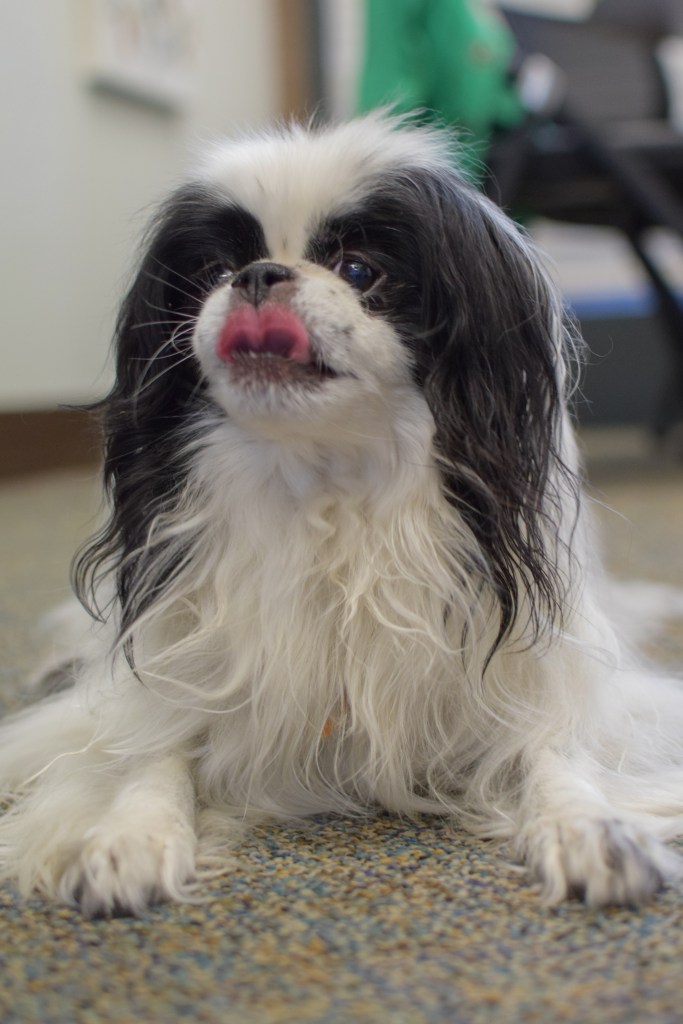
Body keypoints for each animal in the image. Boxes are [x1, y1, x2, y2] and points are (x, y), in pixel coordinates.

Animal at [1, 115, 682, 916]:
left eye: (360, 271)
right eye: (213, 271)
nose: (257, 275)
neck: (327, 485)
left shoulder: (545, 682)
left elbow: (557, 751)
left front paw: (592, 828)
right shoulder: (173, 675)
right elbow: (150, 753)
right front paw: (128, 834)